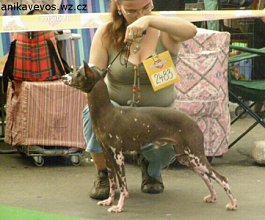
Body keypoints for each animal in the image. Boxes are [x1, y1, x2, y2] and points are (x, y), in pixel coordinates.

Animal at [62, 61, 237, 213]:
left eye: (78, 74)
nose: (63, 77)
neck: (107, 113)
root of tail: (193, 122)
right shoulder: (107, 155)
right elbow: (112, 183)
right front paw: (109, 201)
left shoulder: (118, 156)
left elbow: (123, 186)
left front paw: (119, 207)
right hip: (187, 159)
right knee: (207, 177)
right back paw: (213, 197)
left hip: (196, 156)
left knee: (222, 178)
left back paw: (233, 204)